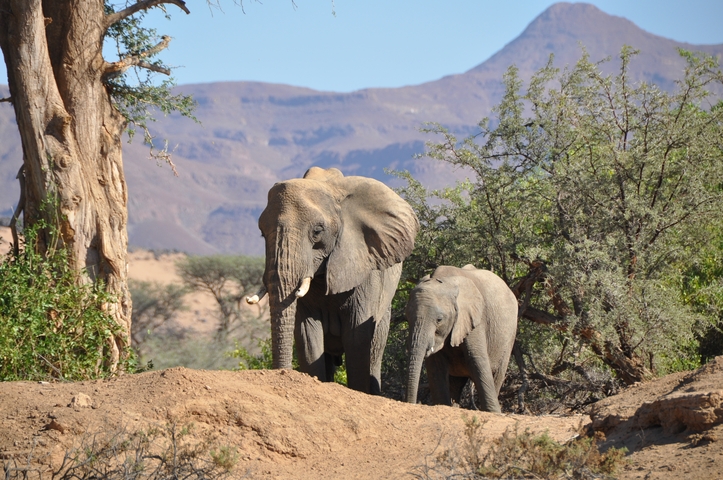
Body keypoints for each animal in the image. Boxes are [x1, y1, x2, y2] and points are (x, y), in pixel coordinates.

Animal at [247, 166, 419, 394]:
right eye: (261, 233)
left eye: (317, 231)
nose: (280, 374)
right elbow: (307, 335)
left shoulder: (366, 267)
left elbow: (357, 337)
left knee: (375, 351)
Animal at [405, 264, 518, 412]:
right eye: (407, 319)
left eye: (439, 320)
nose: (413, 403)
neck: (446, 281)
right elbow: (435, 368)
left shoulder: (475, 320)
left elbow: (477, 361)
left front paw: (495, 413)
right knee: (455, 384)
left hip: (510, 335)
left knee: (496, 374)